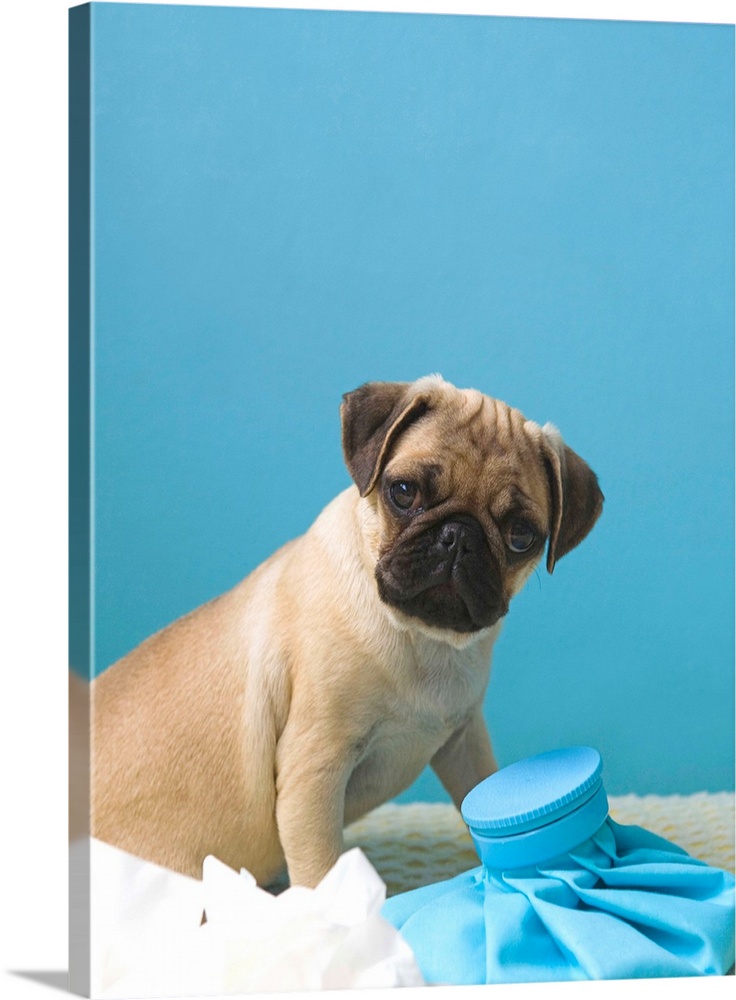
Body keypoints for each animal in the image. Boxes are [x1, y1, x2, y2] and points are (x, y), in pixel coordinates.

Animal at [90, 376, 604, 892]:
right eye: (403, 492)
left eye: (521, 536)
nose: (458, 536)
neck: (422, 639)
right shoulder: (313, 773)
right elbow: (321, 872)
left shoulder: (464, 743)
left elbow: (483, 794)